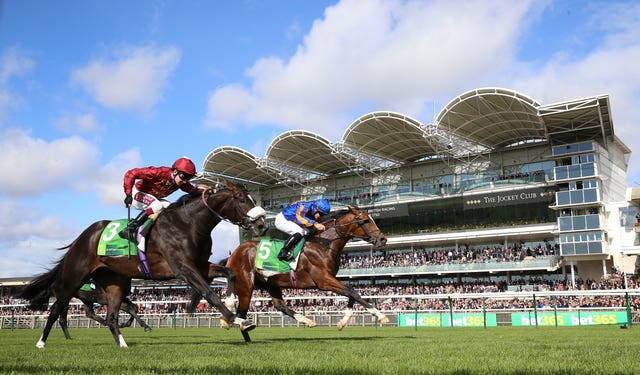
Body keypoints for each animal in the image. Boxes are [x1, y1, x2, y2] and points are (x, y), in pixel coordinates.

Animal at [17, 181, 266, 348]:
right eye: (242, 199)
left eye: (254, 199)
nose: (262, 225)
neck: (188, 224)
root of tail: (82, 237)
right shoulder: (183, 268)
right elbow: (208, 291)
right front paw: (234, 318)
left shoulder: (200, 264)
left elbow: (229, 273)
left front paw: (233, 305)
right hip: (74, 279)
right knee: (56, 310)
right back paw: (41, 343)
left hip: (114, 282)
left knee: (111, 316)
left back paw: (122, 343)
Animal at [222, 207, 388, 342]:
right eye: (366, 220)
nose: (383, 239)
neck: (324, 245)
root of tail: (234, 253)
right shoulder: (323, 281)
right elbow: (353, 292)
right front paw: (380, 316)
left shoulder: (330, 279)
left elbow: (351, 294)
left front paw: (342, 323)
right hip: (245, 286)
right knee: (242, 313)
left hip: (271, 283)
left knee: (280, 306)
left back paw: (307, 321)